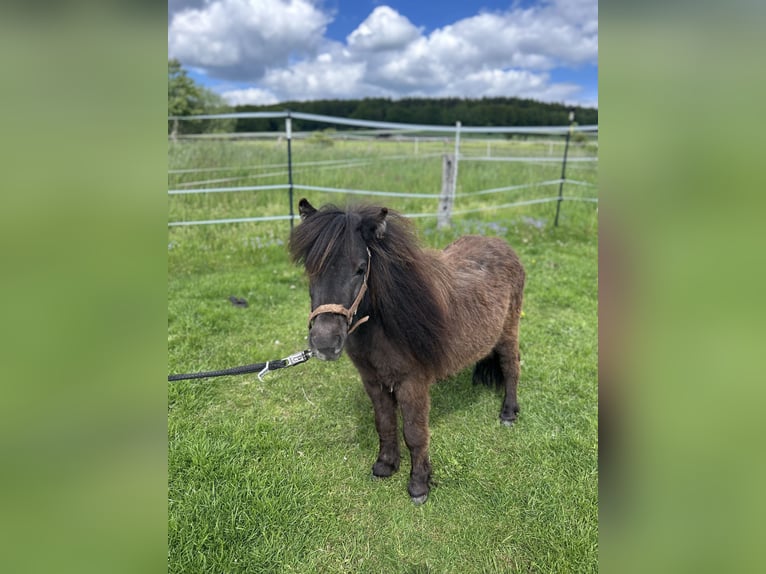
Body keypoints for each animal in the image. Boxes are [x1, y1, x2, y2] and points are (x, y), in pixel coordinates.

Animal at [289, 198, 525, 504]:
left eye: (361, 268)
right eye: (311, 268)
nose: (325, 343)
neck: (389, 325)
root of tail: (500, 244)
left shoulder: (412, 384)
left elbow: (414, 433)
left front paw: (419, 485)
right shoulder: (373, 382)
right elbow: (384, 423)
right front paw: (386, 465)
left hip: (509, 331)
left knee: (511, 367)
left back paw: (508, 413)